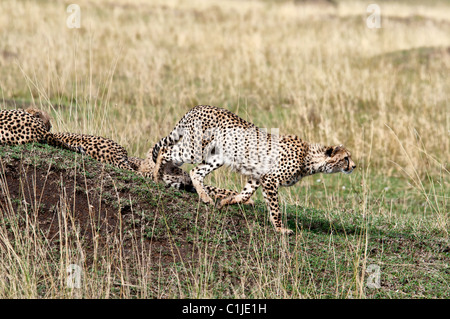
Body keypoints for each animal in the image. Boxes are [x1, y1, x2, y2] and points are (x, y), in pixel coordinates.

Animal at [150, 106, 356, 234]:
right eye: (345, 158)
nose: (354, 166)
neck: (309, 158)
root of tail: (198, 107)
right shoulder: (270, 180)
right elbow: (275, 208)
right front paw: (281, 229)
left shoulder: (258, 177)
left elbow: (245, 195)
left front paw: (225, 202)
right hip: (195, 149)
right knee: (165, 150)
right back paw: (156, 175)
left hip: (216, 157)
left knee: (195, 172)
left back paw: (205, 197)